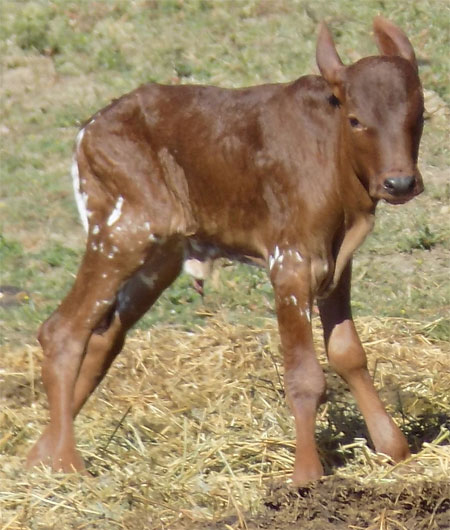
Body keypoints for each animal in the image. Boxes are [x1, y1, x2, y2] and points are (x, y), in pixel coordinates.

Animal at [26, 18, 424, 484]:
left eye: (419, 115)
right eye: (356, 119)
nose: (399, 182)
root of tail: (89, 128)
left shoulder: (337, 264)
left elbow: (348, 354)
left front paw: (393, 446)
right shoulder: (290, 261)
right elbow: (305, 376)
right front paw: (306, 475)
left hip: (159, 255)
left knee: (104, 336)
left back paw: (39, 457)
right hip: (123, 232)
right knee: (63, 331)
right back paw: (66, 463)